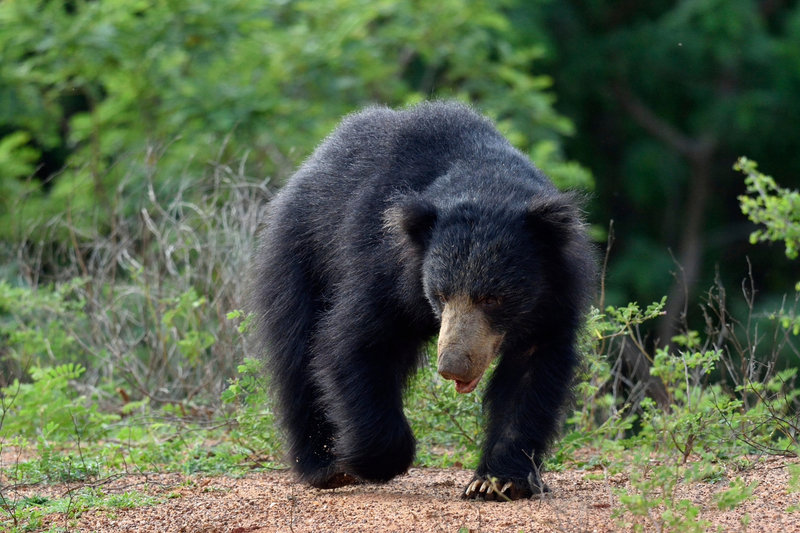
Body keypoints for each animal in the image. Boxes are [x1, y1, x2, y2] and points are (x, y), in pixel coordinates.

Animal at [251, 101, 595, 500]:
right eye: (440, 295)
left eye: (493, 298)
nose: (453, 367)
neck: (486, 182)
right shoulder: (386, 267)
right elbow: (353, 342)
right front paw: (368, 460)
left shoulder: (554, 294)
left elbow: (532, 372)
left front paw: (496, 482)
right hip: (303, 256)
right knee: (296, 355)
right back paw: (324, 467)